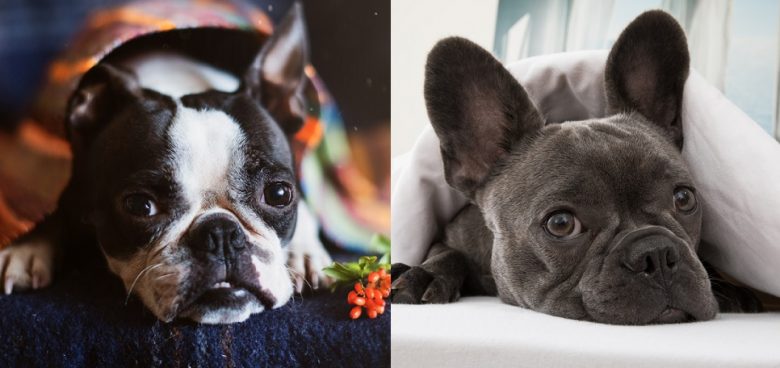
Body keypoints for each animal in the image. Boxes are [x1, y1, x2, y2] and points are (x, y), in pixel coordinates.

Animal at [394, 10, 760, 324]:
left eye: (684, 199)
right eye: (560, 224)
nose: (656, 253)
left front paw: (735, 293)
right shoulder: (450, 236)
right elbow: (446, 253)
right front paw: (423, 273)